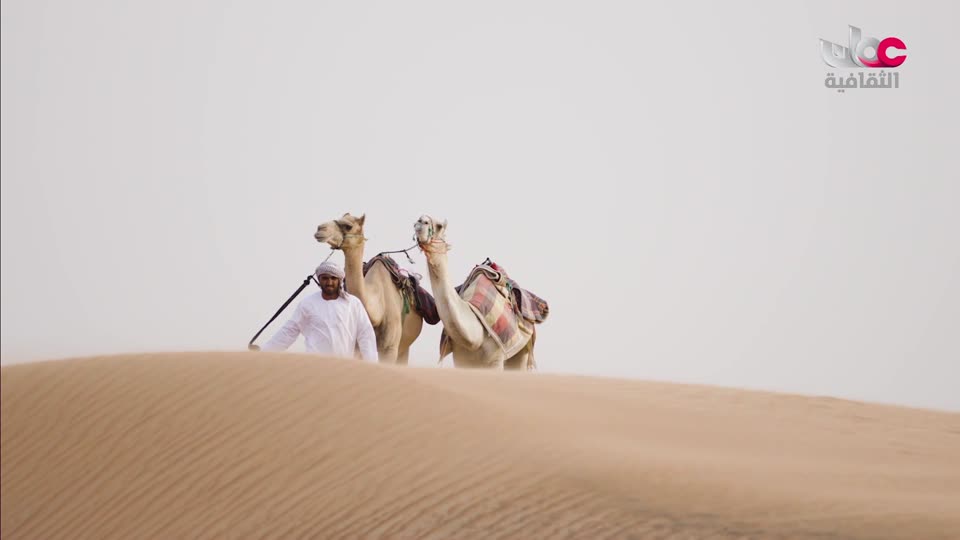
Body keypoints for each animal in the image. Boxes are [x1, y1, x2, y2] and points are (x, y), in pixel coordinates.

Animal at [316, 213, 424, 364]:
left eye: (348, 226)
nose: (320, 229)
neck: (378, 311)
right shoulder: (357, 347)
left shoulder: (390, 348)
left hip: (403, 347)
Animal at [412, 215, 536, 372]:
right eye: (417, 221)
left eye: (439, 226)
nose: (422, 221)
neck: (475, 336)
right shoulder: (460, 359)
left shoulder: (496, 358)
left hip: (523, 349)